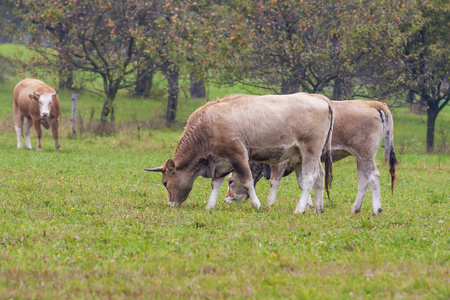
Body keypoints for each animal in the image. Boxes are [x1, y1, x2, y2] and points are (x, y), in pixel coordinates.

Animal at [145, 93, 334, 213]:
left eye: (165, 183)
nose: (171, 204)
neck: (207, 125)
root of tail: (320, 100)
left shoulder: (238, 155)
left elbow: (247, 181)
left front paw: (257, 205)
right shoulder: (219, 161)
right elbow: (216, 184)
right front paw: (209, 206)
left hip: (310, 150)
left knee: (309, 178)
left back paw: (299, 209)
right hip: (306, 155)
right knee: (319, 176)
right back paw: (318, 208)